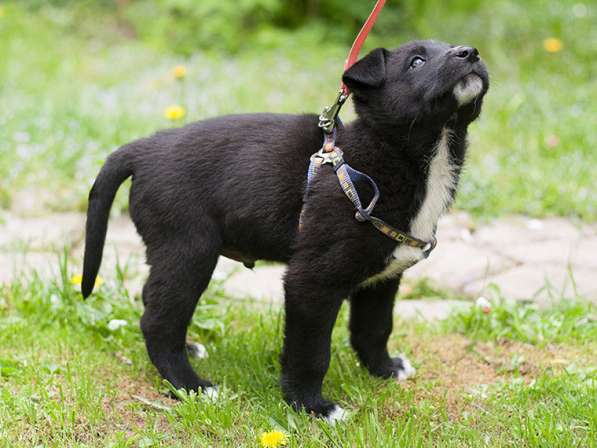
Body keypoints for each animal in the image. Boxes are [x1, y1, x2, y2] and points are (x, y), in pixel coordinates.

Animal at [81, 40, 486, 422]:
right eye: (416, 61)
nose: (471, 53)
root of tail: (144, 149)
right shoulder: (311, 282)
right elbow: (310, 352)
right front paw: (312, 407)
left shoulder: (382, 278)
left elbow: (374, 328)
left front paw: (384, 371)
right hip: (188, 250)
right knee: (158, 320)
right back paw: (191, 385)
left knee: (155, 303)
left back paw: (189, 350)